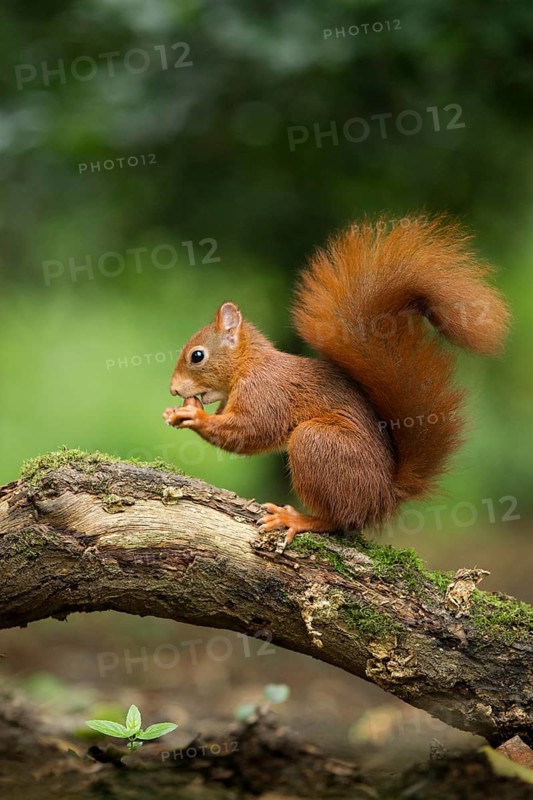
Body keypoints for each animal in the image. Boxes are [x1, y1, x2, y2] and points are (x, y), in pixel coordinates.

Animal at [163, 215, 510, 547]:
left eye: (197, 356)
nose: (173, 389)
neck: (248, 364)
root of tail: (384, 498)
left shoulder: (265, 391)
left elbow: (250, 430)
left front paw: (194, 415)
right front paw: (175, 412)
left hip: (317, 443)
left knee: (339, 519)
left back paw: (298, 519)